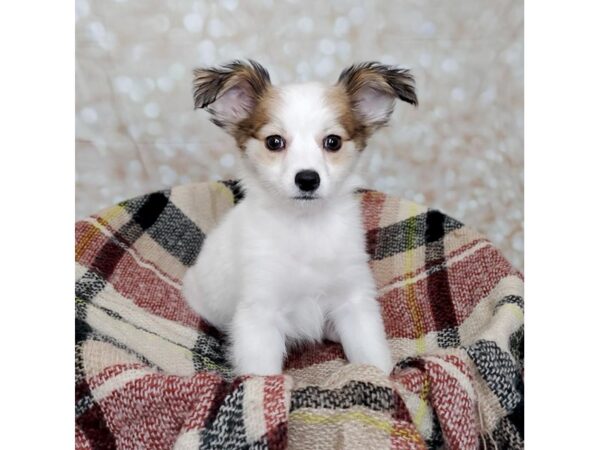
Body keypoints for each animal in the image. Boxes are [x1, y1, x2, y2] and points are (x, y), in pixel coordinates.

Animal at [183, 59, 418, 376]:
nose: (307, 179)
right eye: (274, 142)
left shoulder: (354, 301)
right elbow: (262, 375)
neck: (306, 228)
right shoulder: (260, 314)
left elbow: (372, 357)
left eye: (332, 142)